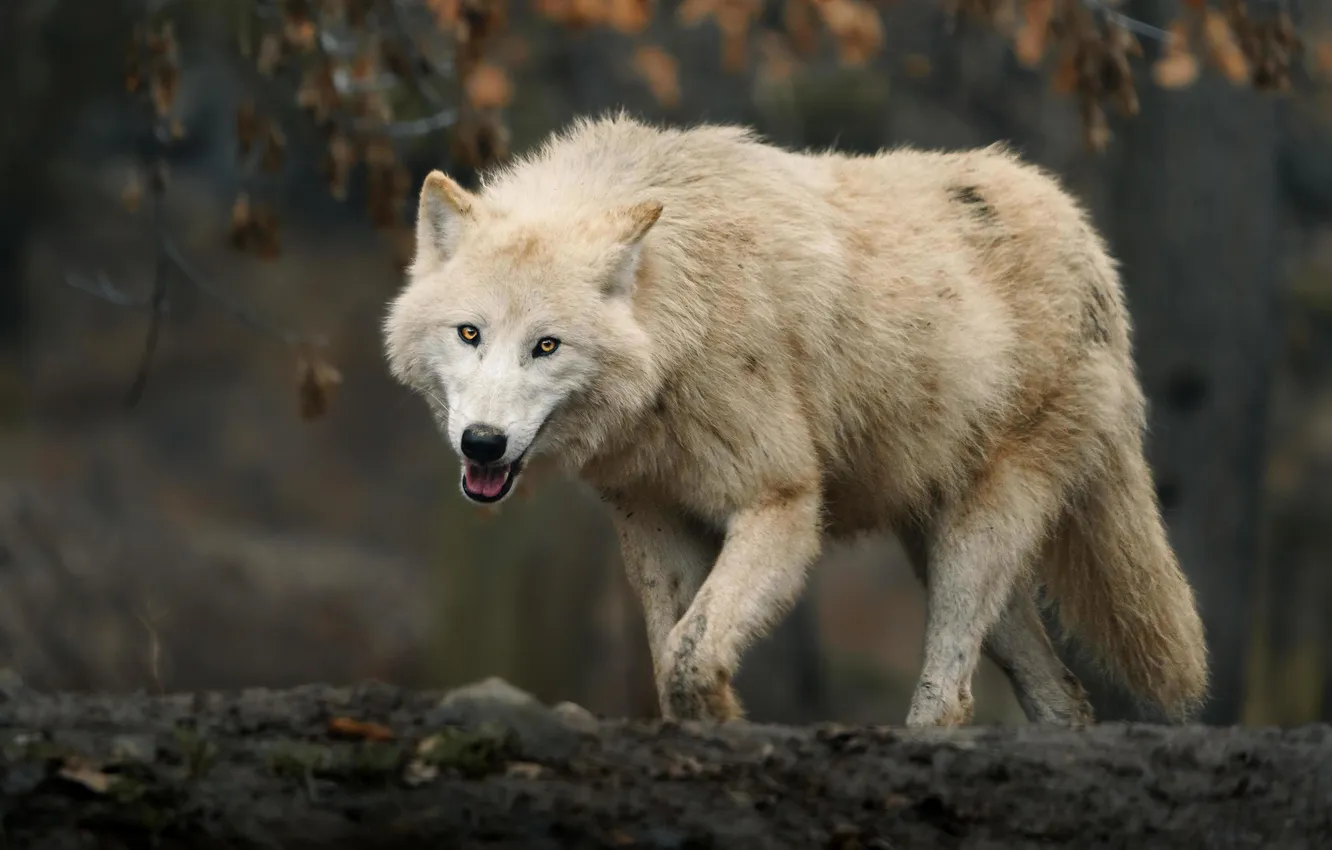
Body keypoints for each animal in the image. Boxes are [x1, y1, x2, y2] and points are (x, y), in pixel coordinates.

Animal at [382, 112, 1209, 727]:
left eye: (546, 346)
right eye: (470, 333)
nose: (482, 443)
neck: (683, 316)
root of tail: (1086, 236)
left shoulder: (781, 503)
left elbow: (691, 654)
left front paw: (727, 719)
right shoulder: (654, 517)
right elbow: (671, 652)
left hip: (975, 538)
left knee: (950, 698)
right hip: (947, 550)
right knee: (1063, 700)